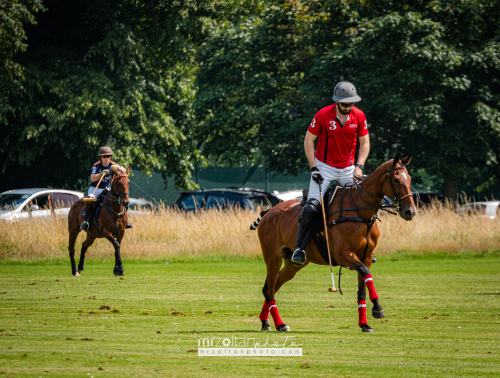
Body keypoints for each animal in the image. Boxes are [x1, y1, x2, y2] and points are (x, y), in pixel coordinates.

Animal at [252, 153, 416, 330]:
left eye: (409, 179)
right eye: (396, 180)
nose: (410, 211)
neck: (360, 212)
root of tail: (269, 211)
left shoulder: (365, 256)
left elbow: (363, 287)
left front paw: (365, 324)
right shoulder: (343, 254)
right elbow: (365, 272)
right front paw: (378, 308)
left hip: (294, 264)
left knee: (273, 286)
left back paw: (265, 322)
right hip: (273, 258)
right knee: (269, 290)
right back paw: (280, 324)